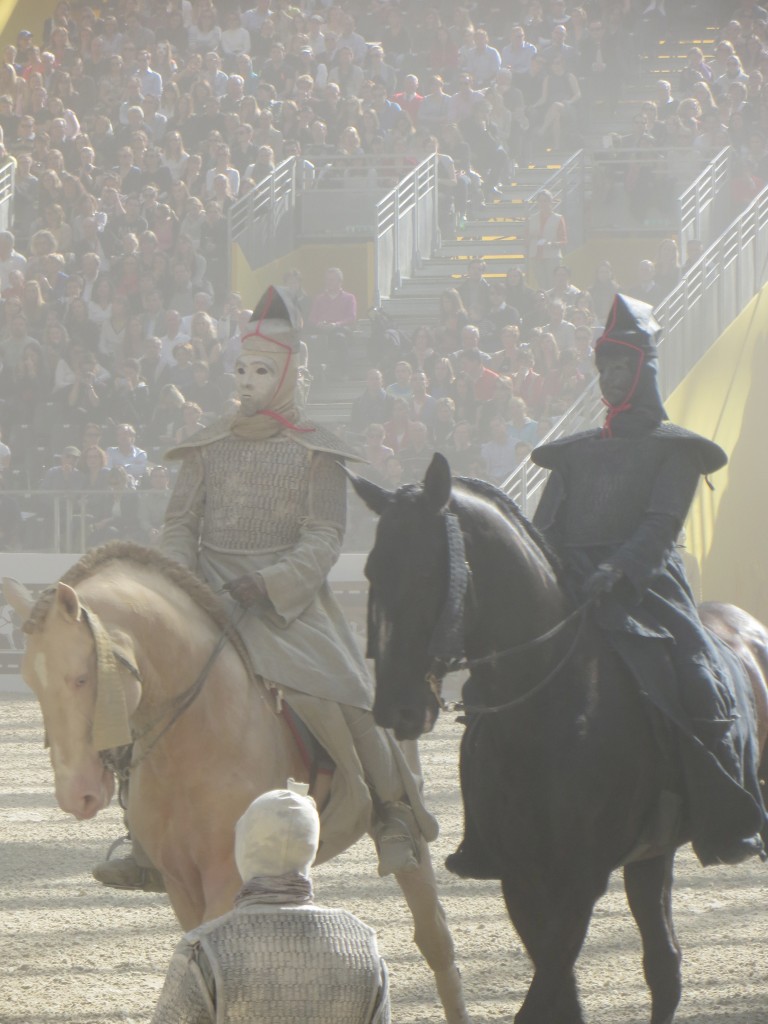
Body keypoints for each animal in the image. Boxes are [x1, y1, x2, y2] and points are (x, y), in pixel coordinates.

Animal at [352, 452, 768, 1019]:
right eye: (373, 570)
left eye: (424, 570)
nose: (397, 706)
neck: (547, 708)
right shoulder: (522, 880)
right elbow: (561, 998)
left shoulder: (579, 881)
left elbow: (542, 996)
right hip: (650, 856)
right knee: (665, 966)